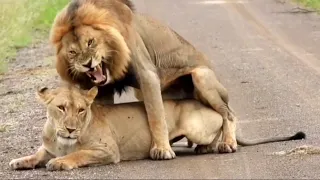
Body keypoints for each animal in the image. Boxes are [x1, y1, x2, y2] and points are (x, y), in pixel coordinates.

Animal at [9, 85, 304, 170]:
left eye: (81, 110)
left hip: (196, 123)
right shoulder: (47, 147)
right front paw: (19, 161)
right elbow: (36, 154)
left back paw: (214, 146)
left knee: (224, 121)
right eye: (61, 107)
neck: (61, 138)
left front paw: (60, 163)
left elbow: (77, 154)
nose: (71, 129)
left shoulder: (108, 151)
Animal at [51, 0, 244, 160]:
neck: (112, 63)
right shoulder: (102, 87)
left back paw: (226, 144)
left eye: (91, 42)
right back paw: (206, 146)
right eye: (72, 52)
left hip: (201, 77)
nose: (88, 64)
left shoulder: (147, 74)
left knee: (228, 114)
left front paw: (162, 150)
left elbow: (156, 116)